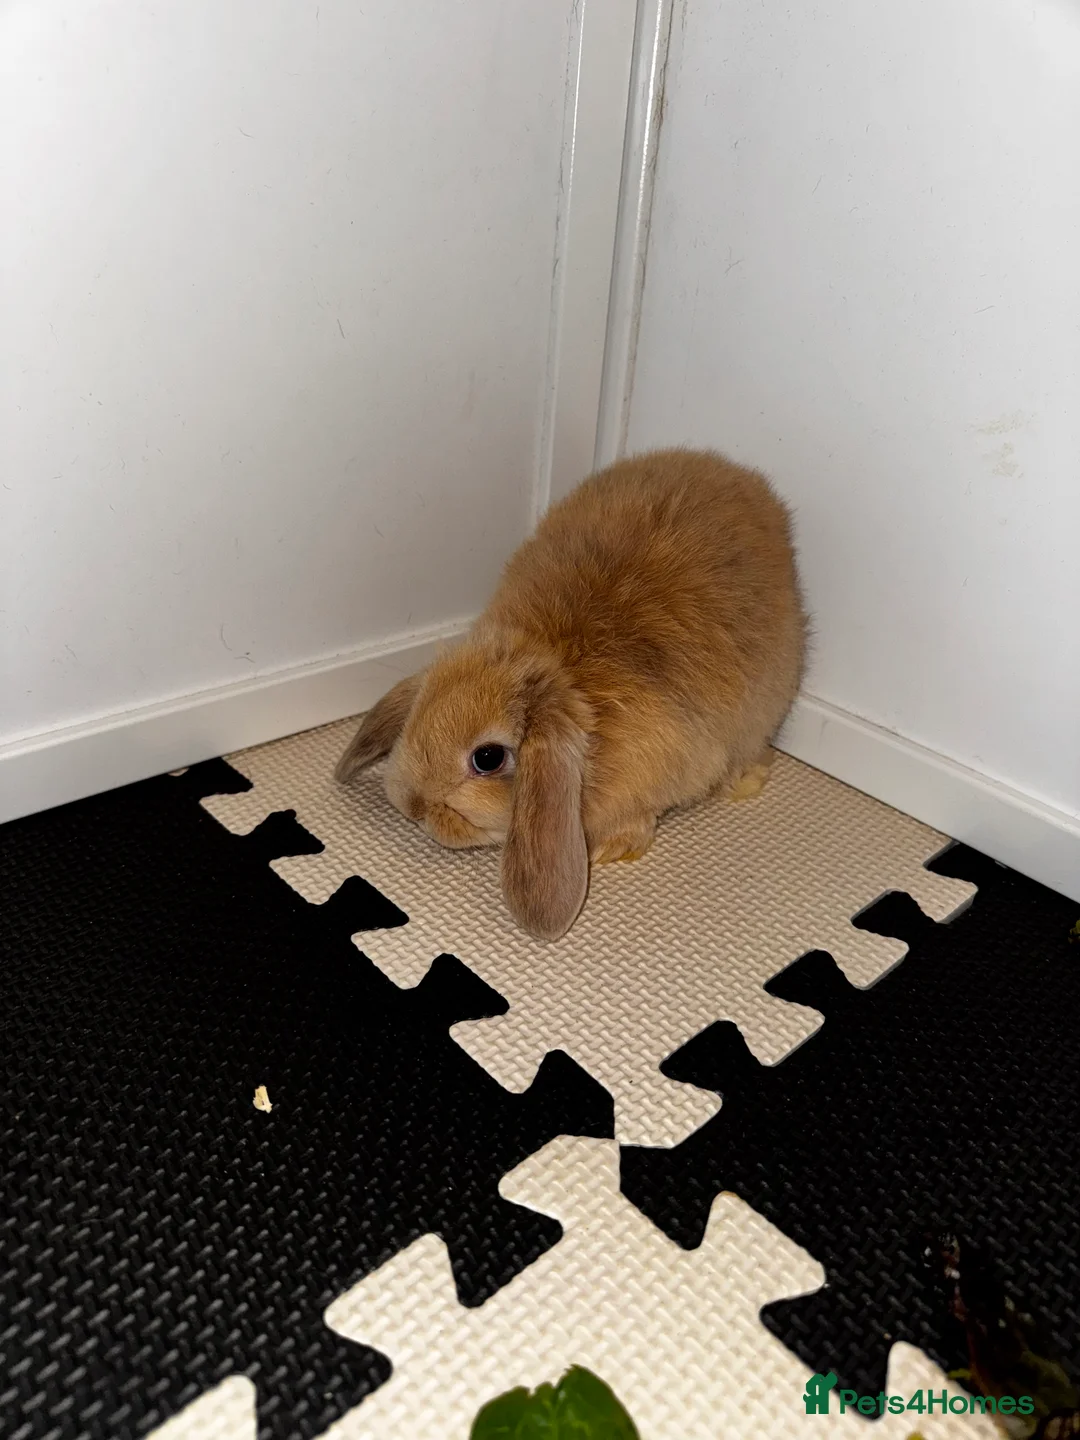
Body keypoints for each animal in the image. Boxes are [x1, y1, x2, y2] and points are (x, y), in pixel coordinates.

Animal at [335, 447, 808, 941]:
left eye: (487, 758)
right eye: (417, 715)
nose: (413, 805)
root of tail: (742, 477)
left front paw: (613, 847)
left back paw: (744, 781)